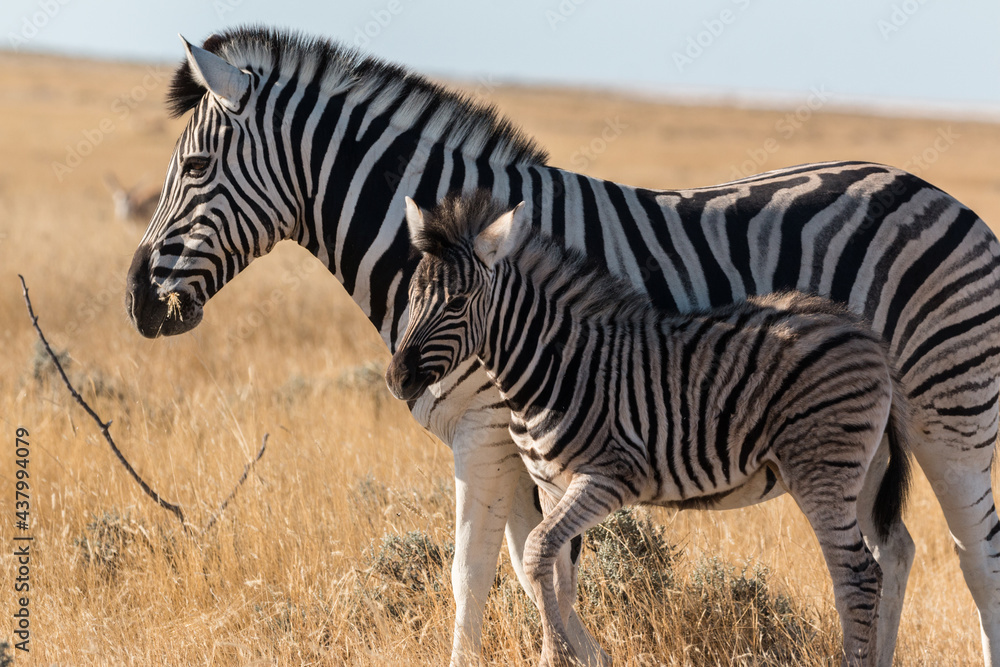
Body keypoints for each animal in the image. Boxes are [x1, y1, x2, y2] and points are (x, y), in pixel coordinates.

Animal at [386, 191, 914, 666]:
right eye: (411, 297)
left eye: (457, 303)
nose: (396, 379)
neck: (554, 367)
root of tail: (864, 330)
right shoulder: (553, 488)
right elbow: (556, 579)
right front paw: (557, 654)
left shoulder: (606, 479)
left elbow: (536, 554)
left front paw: (554, 655)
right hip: (860, 473)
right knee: (882, 562)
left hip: (822, 471)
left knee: (855, 577)